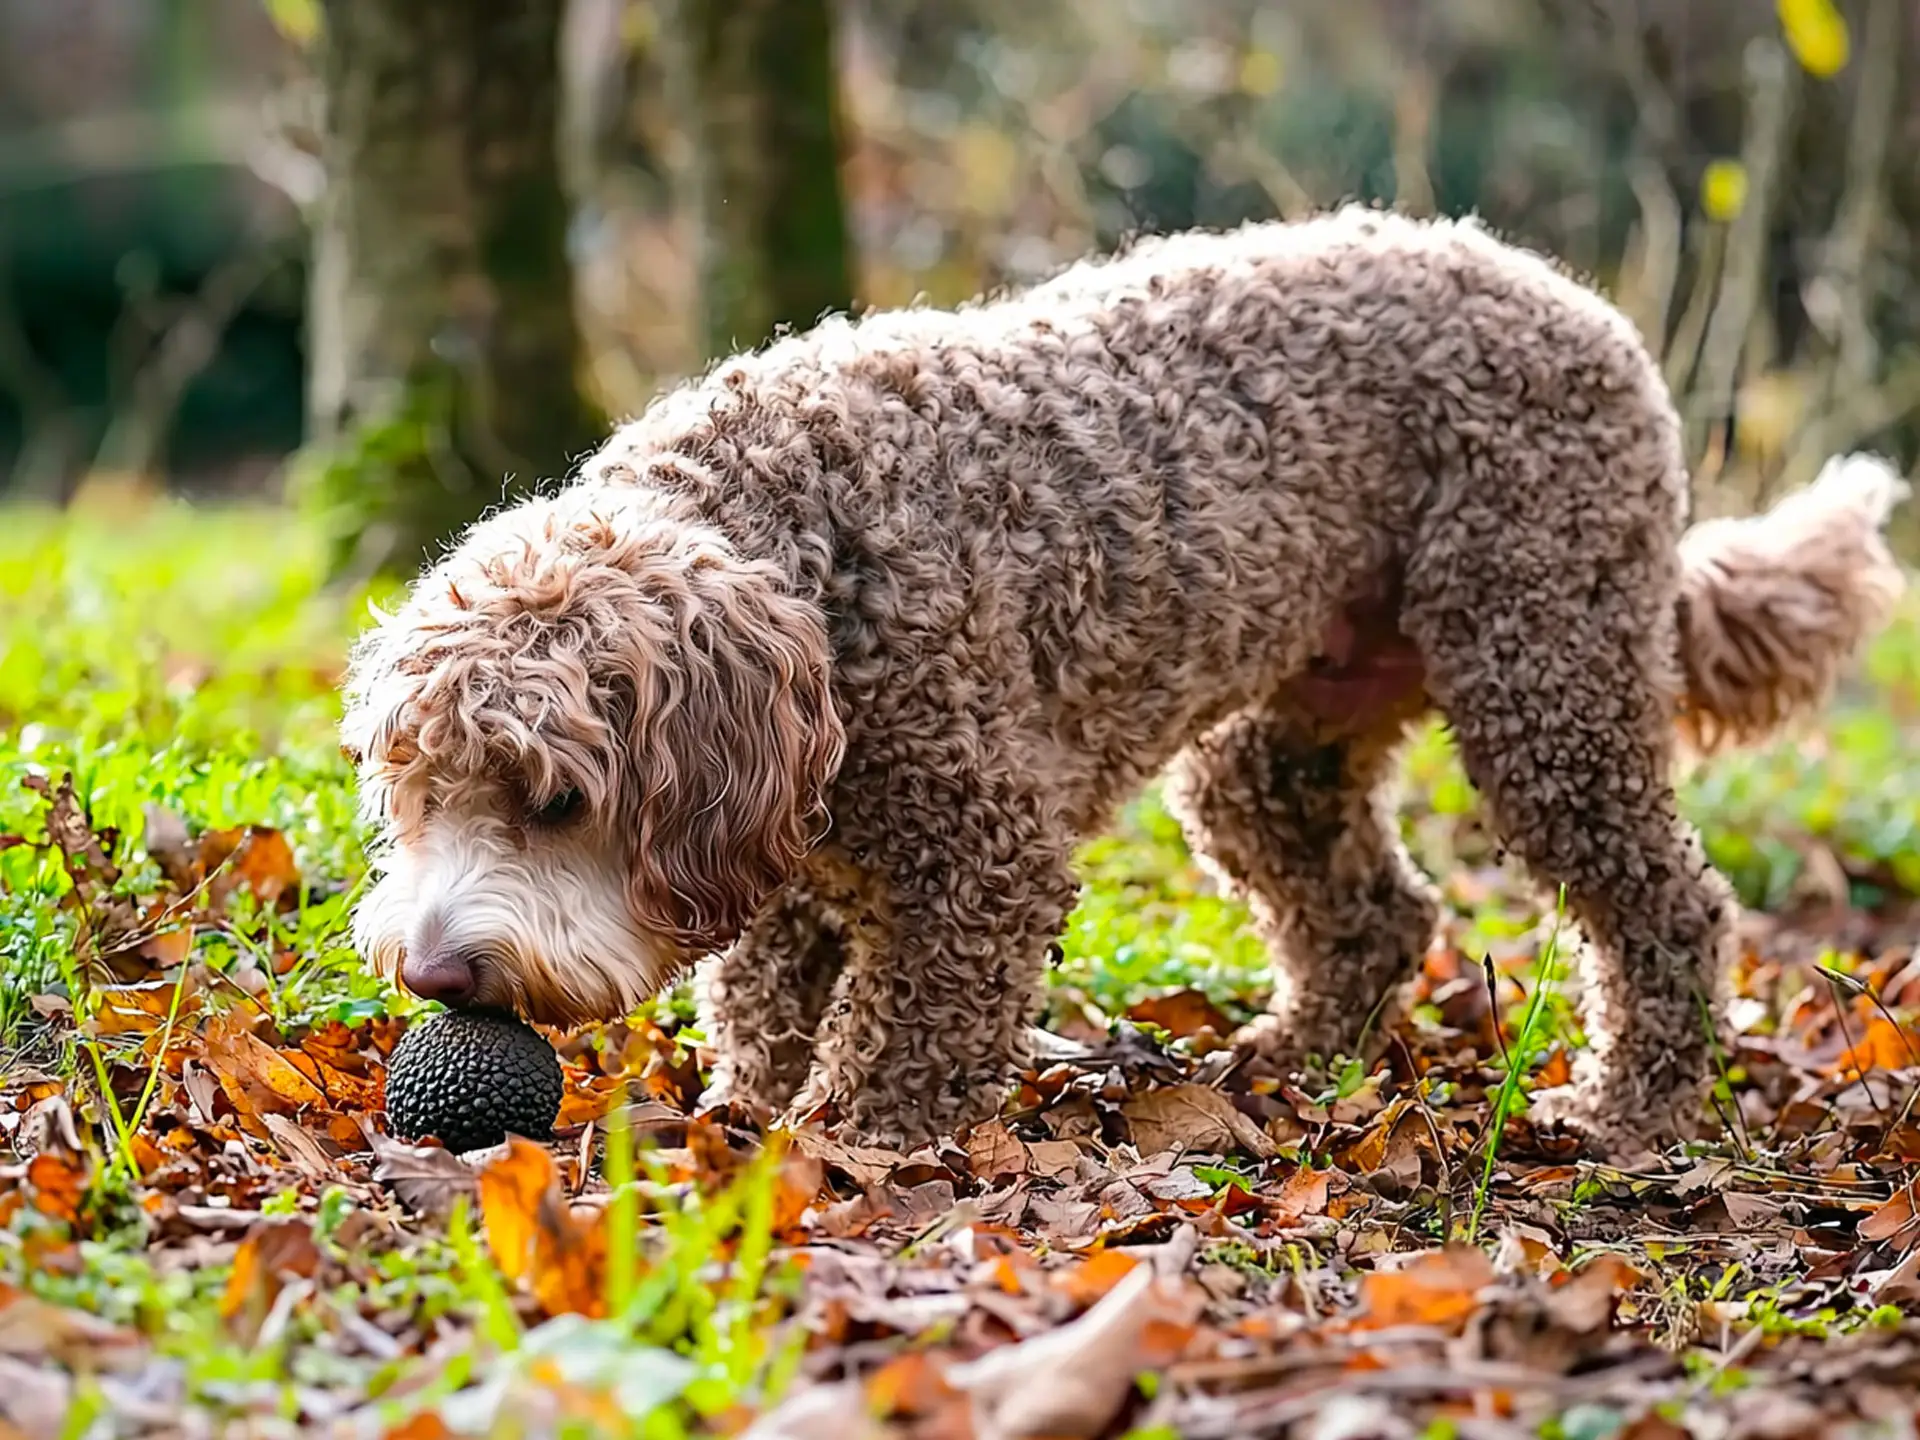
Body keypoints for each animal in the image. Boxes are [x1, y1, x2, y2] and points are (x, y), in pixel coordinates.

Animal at [341, 205, 1904, 1152]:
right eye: (412, 796)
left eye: (554, 800)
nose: (432, 972)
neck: (803, 550)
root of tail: (1577, 300)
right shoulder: (788, 851)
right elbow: (770, 998)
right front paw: (743, 1108)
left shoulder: (979, 853)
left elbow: (908, 1034)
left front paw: (845, 1148)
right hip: (1284, 745)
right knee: (1372, 913)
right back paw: (1295, 1061)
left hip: (1544, 670)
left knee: (1666, 902)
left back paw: (1641, 1102)